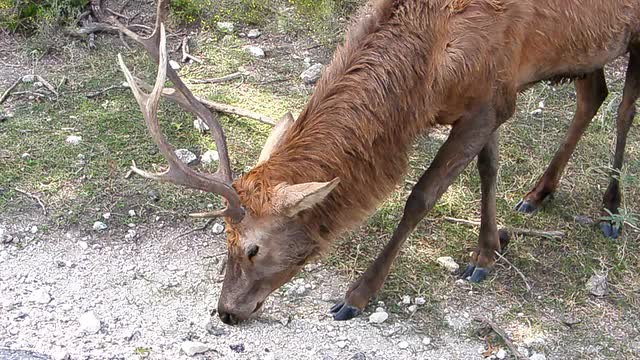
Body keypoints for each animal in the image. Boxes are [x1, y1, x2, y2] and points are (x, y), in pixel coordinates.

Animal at [115, 0, 640, 324]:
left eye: (252, 249)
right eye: (222, 236)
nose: (225, 311)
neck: (427, 80)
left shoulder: (486, 103)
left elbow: (421, 195)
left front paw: (356, 295)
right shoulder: (492, 98)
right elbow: (489, 168)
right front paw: (490, 248)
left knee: (624, 105)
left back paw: (611, 210)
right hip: (589, 46)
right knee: (594, 94)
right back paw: (538, 192)